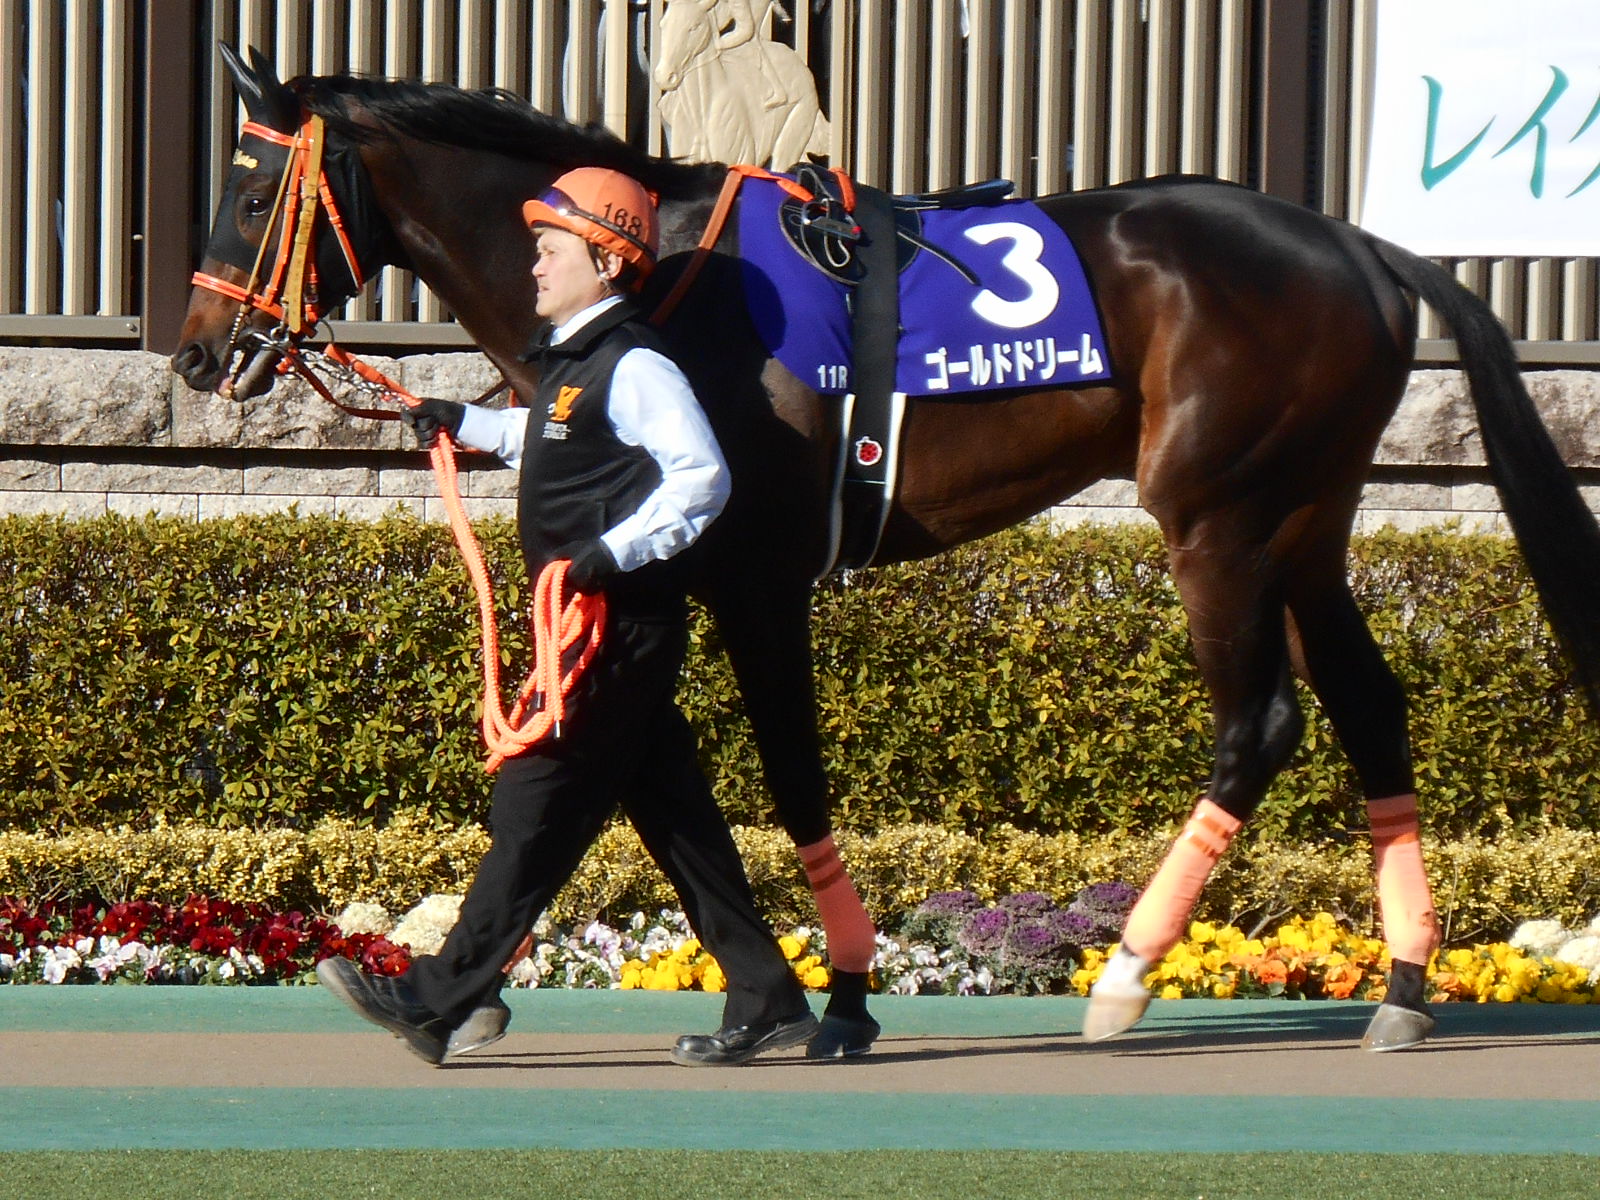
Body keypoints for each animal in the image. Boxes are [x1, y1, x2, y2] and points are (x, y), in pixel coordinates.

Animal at [172, 47, 1600, 1053]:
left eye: (248, 188)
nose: (192, 353)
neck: (672, 283)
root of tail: (1359, 242)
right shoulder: (664, 578)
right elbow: (643, 770)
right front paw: (487, 991)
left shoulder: (750, 573)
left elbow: (777, 775)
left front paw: (836, 993)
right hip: (1303, 520)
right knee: (1369, 706)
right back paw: (1404, 985)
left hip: (1221, 519)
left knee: (1261, 722)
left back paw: (1126, 976)